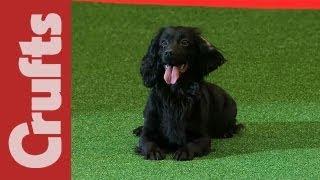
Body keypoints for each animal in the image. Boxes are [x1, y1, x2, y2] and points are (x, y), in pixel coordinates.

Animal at [133, 26, 242, 160]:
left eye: (184, 42)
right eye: (163, 43)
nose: (168, 53)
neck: (175, 93)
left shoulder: (202, 136)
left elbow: (192, 144)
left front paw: (183, 152)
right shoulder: (148, 132)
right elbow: (147, 142)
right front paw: (153, 151)